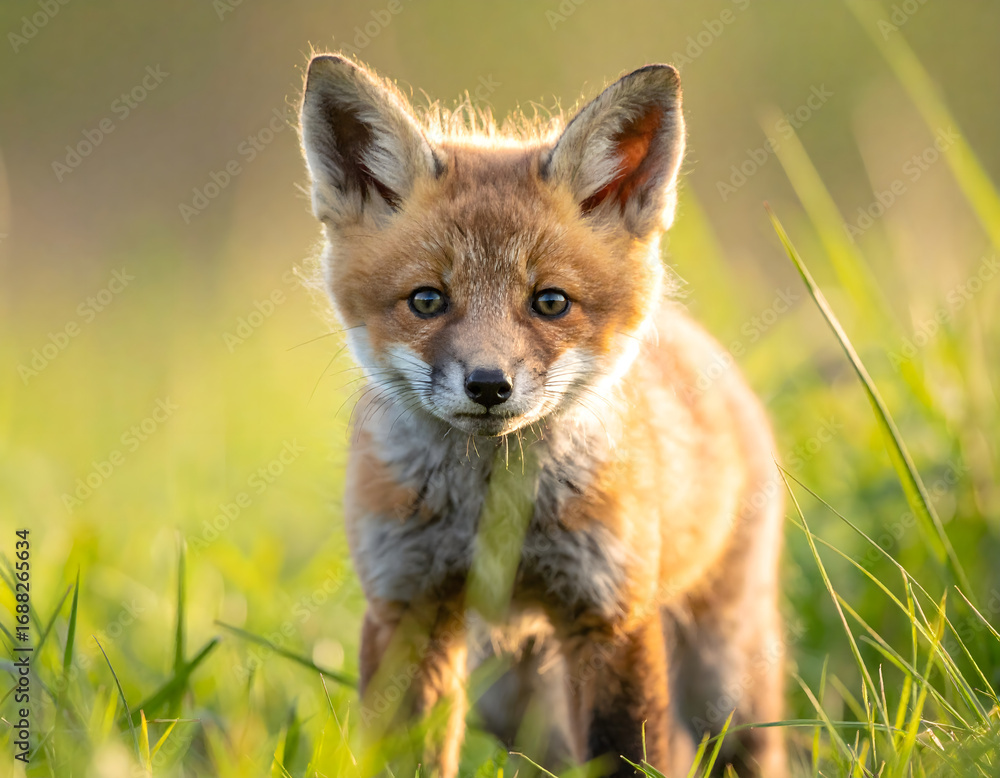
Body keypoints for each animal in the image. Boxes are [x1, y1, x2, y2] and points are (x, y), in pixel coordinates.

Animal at [299, 54, 786, 778]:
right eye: (427, 300)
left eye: (550, 302)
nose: (488, 385)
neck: (493, 515)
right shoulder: (407, 608)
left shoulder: (608, 614)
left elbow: (629, 756)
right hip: (511, 697)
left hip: (723, 678)